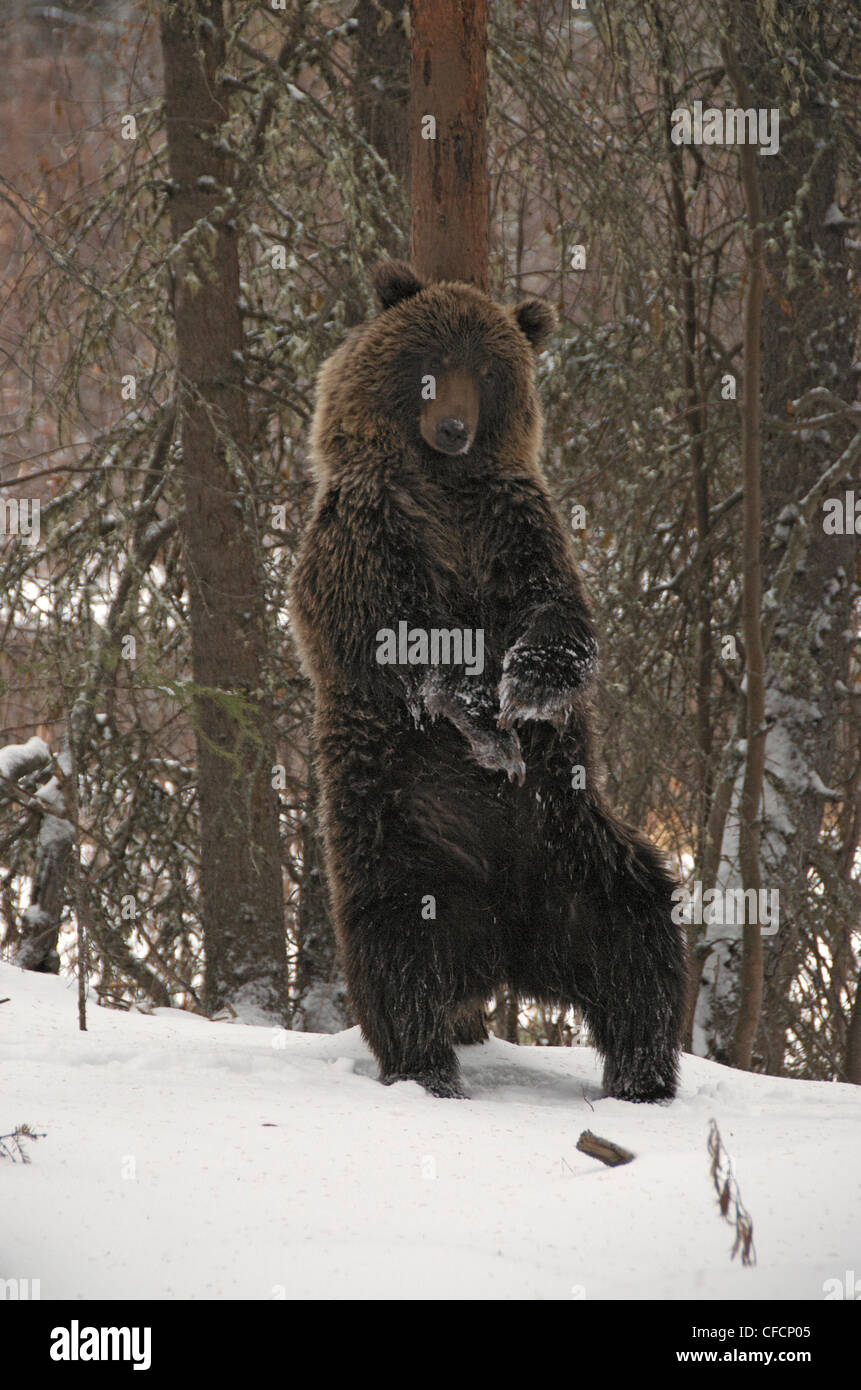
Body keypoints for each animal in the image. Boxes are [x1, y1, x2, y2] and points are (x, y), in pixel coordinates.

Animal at [289, 262, 687, 1095]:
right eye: (433, 362)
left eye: (490, 372)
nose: (454, 428)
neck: (441, 485)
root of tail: (506, 941)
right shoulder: (370, 534)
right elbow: (393, 633)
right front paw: (481, 708)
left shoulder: (513, 525)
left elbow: (558, 611)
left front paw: (527, 686)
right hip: (402, 839)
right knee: (396, 956)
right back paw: (427, 1068)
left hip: (576, 850)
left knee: (641, 935)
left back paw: (642, 1076)